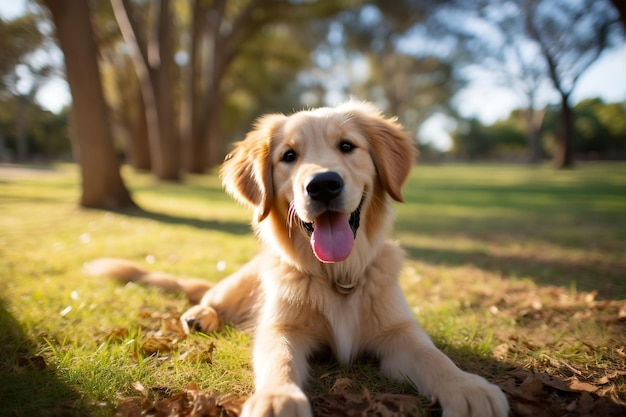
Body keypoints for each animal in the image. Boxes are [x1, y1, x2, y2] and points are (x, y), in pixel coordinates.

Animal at [88, 101, 508, 416]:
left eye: (347, 146)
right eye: (288, 156)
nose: (323, 184)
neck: (338, 276)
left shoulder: (399, 332)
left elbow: (434, 357)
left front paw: (466, 386)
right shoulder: (281, 328)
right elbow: (279, 359)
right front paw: (277, 399)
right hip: (240, 281)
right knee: (211, 298)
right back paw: (200, 315)